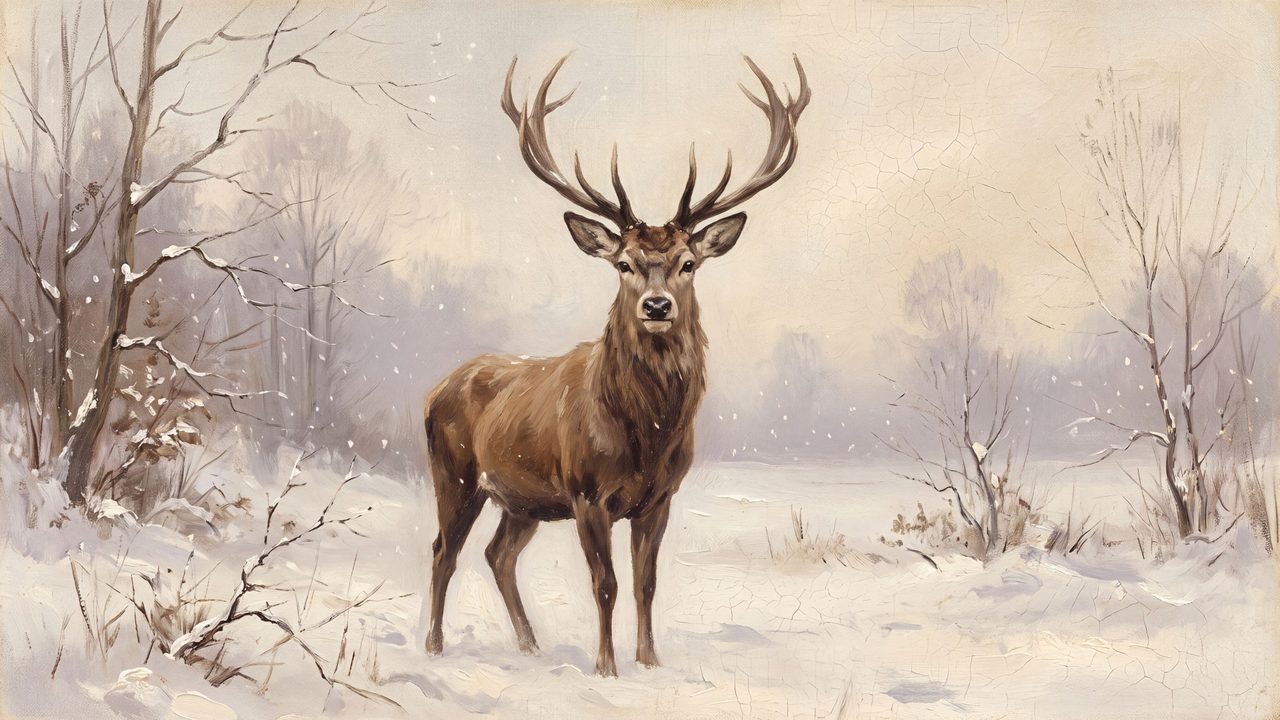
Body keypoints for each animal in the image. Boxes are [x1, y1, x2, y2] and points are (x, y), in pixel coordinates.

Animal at [423, 53, 810, 677]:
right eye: (624, 263)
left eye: (688, 263)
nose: (657, 305)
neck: (647, 433)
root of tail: (436, 388)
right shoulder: (587, 492)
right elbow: (604, 583)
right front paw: (606, 667)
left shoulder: (660, 497)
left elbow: (646, 583)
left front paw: (649, 661)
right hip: (453, 472)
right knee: (443, 550)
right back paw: (433, 645)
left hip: (523, 500)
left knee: (497, 554)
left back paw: (530, 644)